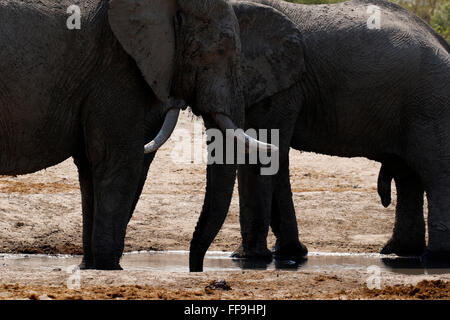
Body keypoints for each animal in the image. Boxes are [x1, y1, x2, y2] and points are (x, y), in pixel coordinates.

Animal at [0, 0, 270, 270]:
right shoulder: (117, 69)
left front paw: (91, 267)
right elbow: (119, 161)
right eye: (220, 50)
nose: (196, 270)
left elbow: (90, 166)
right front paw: (110, 267)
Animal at [188, 0, 448, 272]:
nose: (197, 267)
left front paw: (248, 259)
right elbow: (274, 158)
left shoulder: (281, 88)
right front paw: (289, 254)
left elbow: (259, 161)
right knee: (408, 173)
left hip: (431, 104)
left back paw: (435, 258)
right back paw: (400, 253)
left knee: (435, 172)